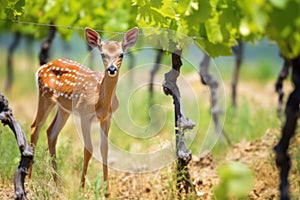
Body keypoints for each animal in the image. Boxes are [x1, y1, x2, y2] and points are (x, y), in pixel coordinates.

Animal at [28, 26, 139, 195]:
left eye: (121, 54)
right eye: (102, 53)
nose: (111, 69)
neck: (100, 103)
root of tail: (41, 67)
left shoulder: (107, 118)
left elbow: (104, 149)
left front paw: (107, 192)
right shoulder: (84, 114)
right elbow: (88, 149)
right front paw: (81, 188)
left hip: (64, 108)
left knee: (51, 132)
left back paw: (58, 184)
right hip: (45, 96)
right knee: (35, 127)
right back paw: (28, 180)